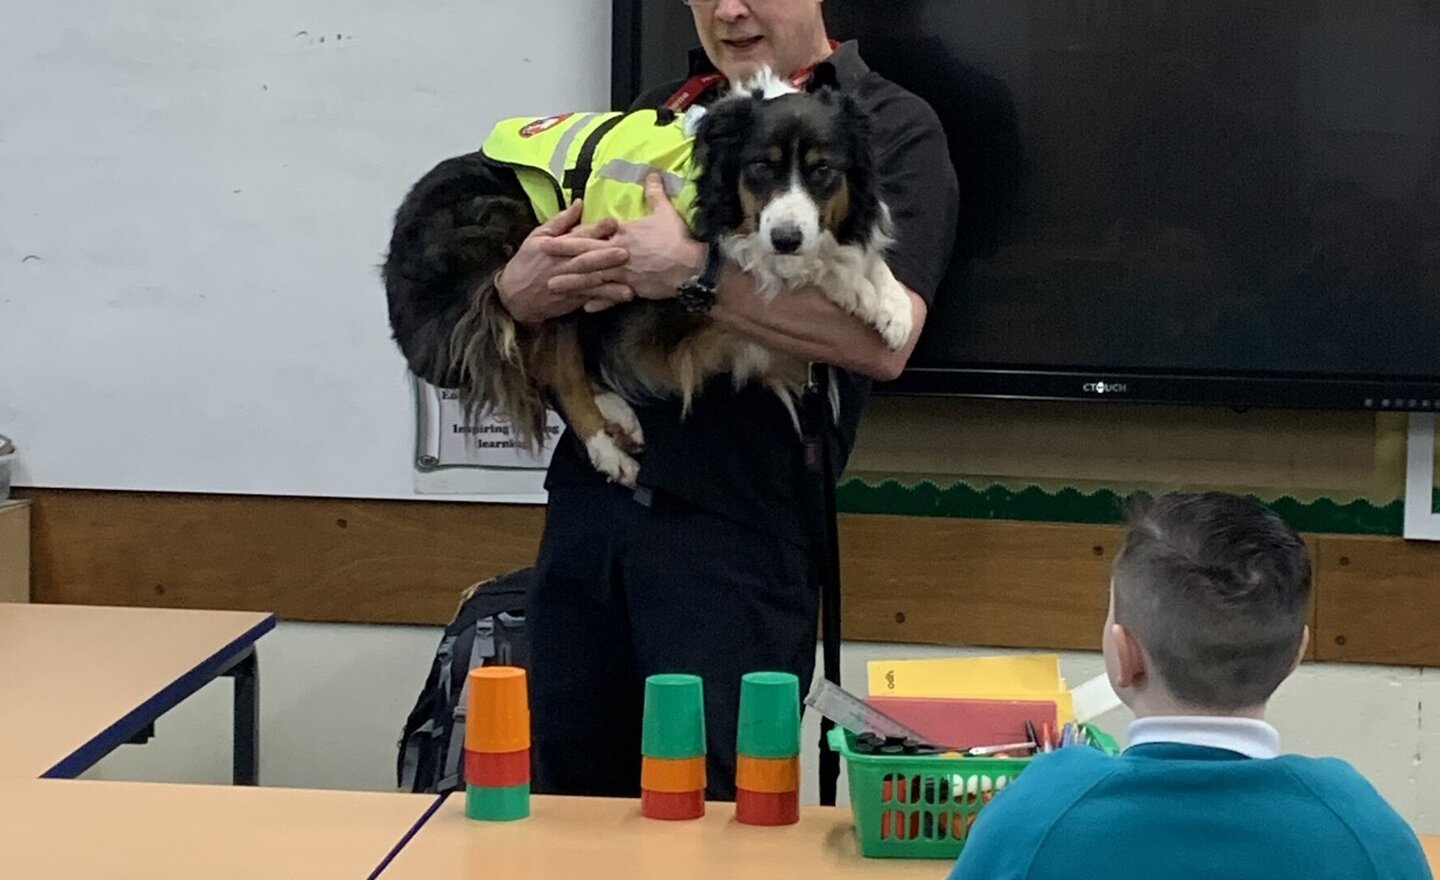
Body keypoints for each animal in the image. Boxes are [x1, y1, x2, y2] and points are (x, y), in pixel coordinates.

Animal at [377, 66, 904, 489]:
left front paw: (894, 304)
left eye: (822, 171)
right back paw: (608, 451)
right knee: (554, 368)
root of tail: (399, 242)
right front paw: (869, 299)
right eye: (760, 167)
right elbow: (815, 268)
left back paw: (617, 414)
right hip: (539, 249)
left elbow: (860, 257)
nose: (787, 237)